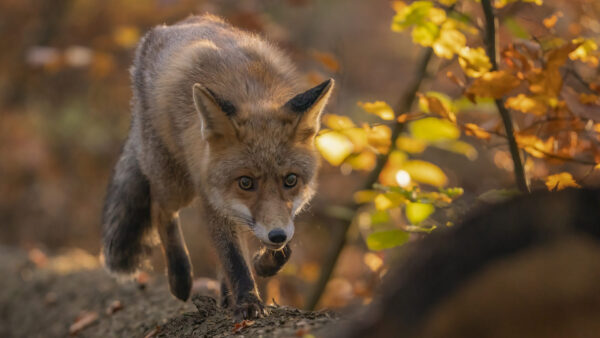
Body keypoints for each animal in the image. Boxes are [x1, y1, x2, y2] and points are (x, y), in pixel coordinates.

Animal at [99, 13, 332, 320]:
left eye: (291, 180)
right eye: (246, 182)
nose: (276, 234)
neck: (250, 92)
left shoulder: (272, 215)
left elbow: (280, 249)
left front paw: (263, 265)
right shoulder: (213, 200)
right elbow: (234, 259)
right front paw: (248, 302)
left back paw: (224, 295)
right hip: (175, 183)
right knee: (160, 209)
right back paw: (180, 277)